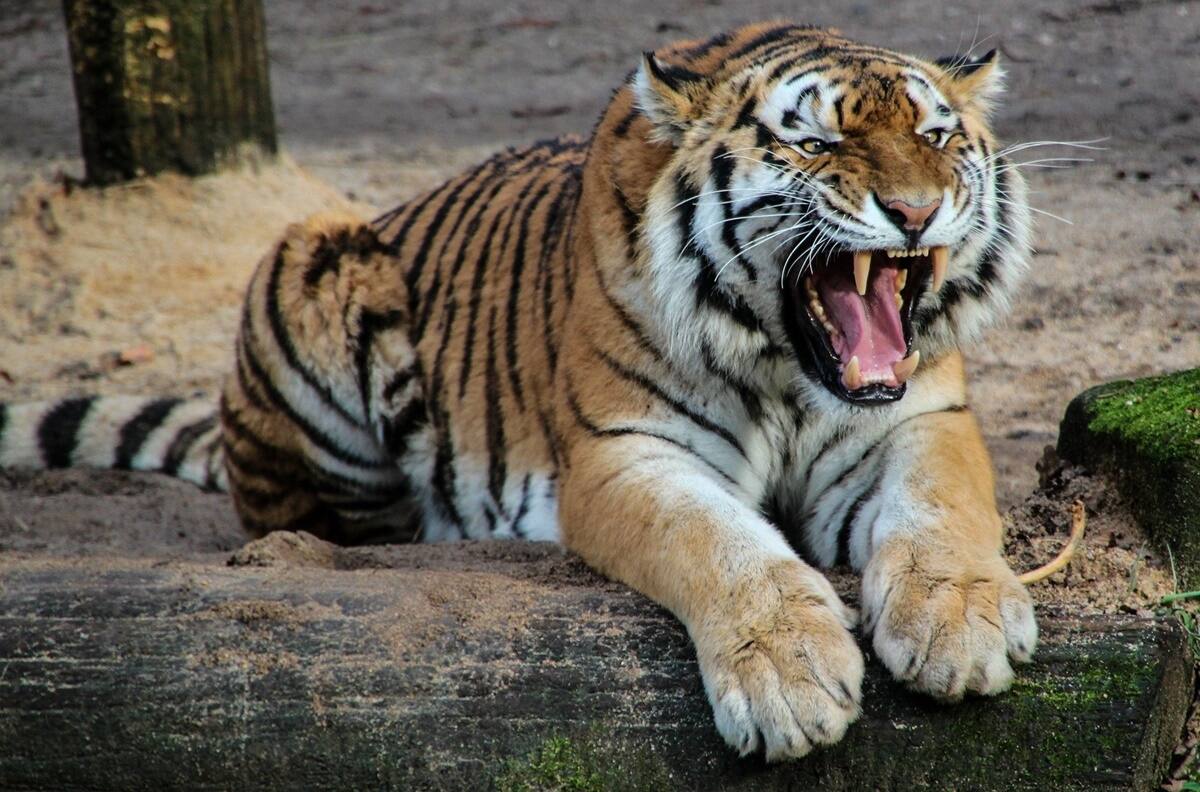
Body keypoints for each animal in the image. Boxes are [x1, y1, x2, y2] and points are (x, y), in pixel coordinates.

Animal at [0, 22, 1037, 760]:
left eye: (936, 135)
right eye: (817, 143)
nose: (915, 211)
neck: (787, 368)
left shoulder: (919, 418)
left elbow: (942, 508)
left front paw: (961, 624)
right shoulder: (624, 453)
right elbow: (720, 543)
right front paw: (789, 676)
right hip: (312, 258)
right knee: (312, 520)